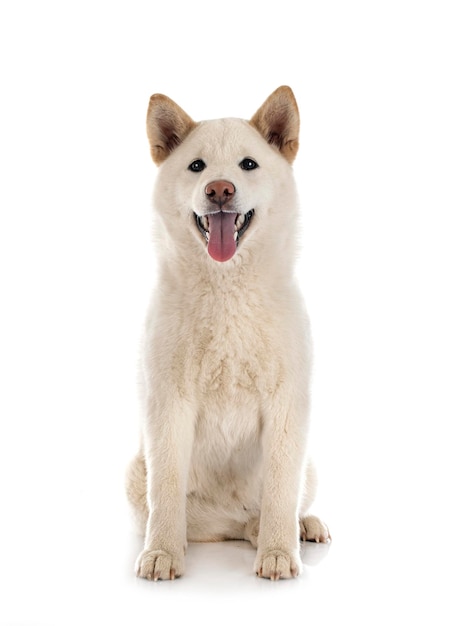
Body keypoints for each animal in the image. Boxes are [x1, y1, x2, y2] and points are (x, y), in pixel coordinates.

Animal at [127, 86, 328, 580]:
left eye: (248, 164)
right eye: (197, 166)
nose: (220, 189)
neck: (226, 292)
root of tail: (230, 521)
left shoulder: (287, 406)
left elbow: (281, 491)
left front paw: (278, 551)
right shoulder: (168, 405)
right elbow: (166, 490)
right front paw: (162, 553)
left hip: (308, 462)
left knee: (281, 504)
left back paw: (299, 527)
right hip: (136, 472)